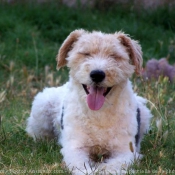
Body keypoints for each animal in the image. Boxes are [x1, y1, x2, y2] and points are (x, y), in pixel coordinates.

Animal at [26, 29, 152, 174]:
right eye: (85, 53)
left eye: (114, 56)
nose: (97, 74)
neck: (99, 112)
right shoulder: (75, 148)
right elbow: (82, 168)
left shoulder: (125, 150)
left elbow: (112, 167)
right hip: (41, 108)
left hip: (144, 112)